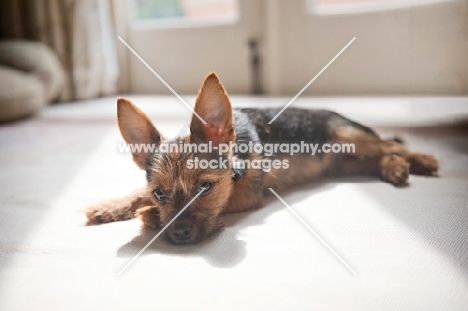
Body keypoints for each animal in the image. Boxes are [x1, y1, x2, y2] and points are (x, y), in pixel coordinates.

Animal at [85, 72, 438, 245]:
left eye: (206, 188)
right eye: (160, 193)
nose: (180, 235)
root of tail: (341, 115)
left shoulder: (245, 194)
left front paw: (148, 215)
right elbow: (139, 192)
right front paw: (114, 205)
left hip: (349, 137)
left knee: (390, 145)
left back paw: (419, 159)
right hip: (349, 160)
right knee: (381, 154)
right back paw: (394, 168)